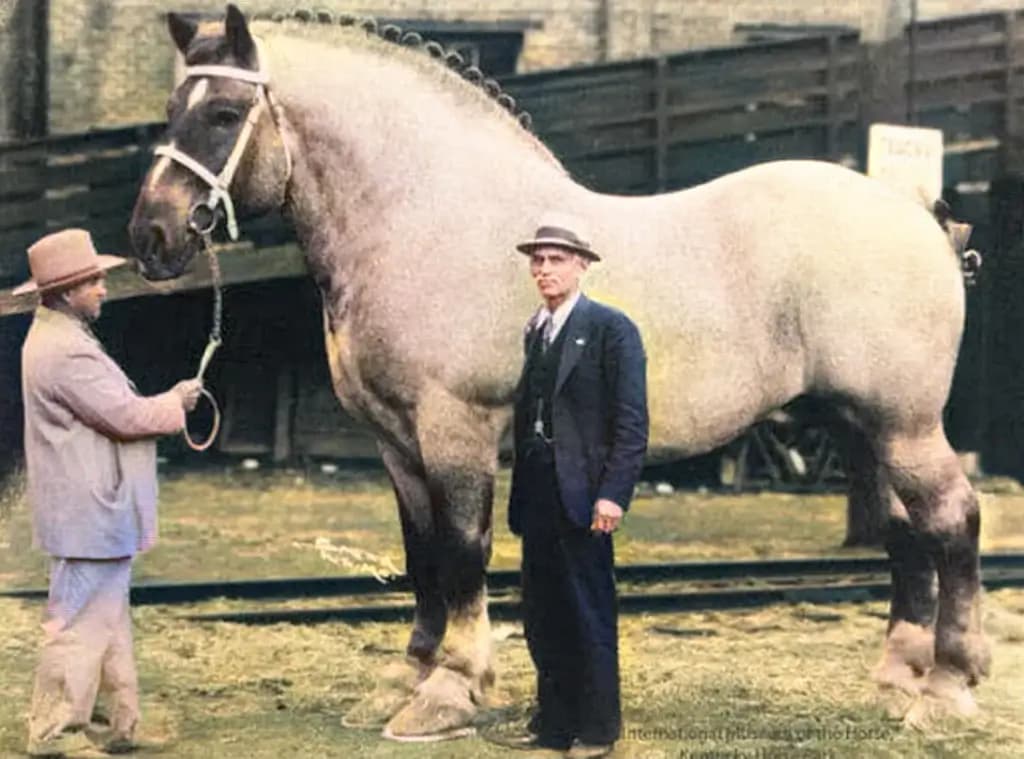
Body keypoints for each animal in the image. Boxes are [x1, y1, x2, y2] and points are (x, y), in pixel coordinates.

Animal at [128, 5, 988, 739]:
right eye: (171, 108)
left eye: (223, 114)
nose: (152, 235)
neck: (426, 216)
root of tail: (920, 217)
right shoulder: (397, 443)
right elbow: (420, 554)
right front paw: (406, 677)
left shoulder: (456, 428)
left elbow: (462, 550)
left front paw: (450, 689)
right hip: (861, 425)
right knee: (906, 533)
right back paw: (897, 678)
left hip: (903, 424)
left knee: (953, 519)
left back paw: (948, 687)